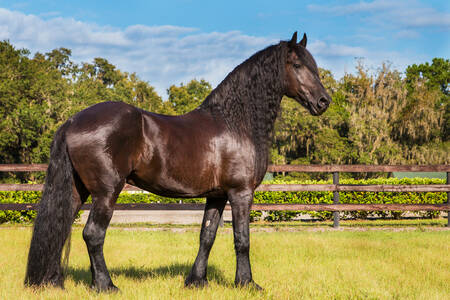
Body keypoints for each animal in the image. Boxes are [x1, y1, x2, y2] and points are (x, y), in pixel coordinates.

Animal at [25, 32, 330, 290]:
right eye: (297, 64)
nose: (324, 101)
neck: (235, 122)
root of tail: (72, 121)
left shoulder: (217, 196)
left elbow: (207, 236)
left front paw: (197, 281)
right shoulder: (240, 193)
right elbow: (242, 239)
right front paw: (247, 283)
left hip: (77, 191)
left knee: (60, 231)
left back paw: (53, 282)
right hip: (106, 192)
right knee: (93, 234)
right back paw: (106, 285)